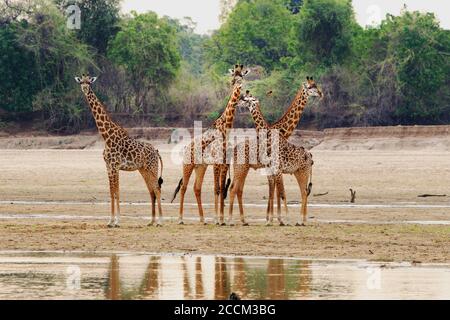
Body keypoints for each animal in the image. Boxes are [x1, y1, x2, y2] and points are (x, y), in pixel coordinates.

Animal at [75, 74, 163, 228]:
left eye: (89, 82)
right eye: (81, 82)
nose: (85, 89)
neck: (106, 136)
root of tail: (156, 151)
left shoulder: (115, 166)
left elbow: (117, 192)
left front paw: (117, 221)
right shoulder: (109, 166)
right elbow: (112, 192)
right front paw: (110, 221)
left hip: (152, 168)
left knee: (157, 189)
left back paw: (160, 221)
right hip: (144, 170)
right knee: (151, 191)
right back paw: (151, 221)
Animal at [171, 64, 250, 225]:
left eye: (242, 77)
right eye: (233, 79)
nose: (239, 88)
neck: (225, 128)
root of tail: (185, 147)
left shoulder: (225, 162)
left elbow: (222, 188)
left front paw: (222, 219)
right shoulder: (216, 162)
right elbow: (217, 189)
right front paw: (217, 219)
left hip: (200, 167)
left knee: (196, 188)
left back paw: (202, 219)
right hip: (187, 165)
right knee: (183, 187)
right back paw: (180, 219)